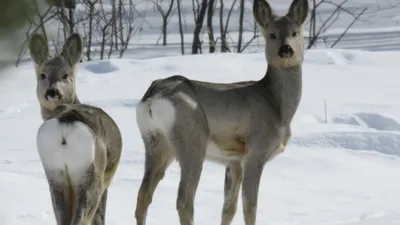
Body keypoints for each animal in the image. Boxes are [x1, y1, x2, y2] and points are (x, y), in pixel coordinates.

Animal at [29, 33, 122, 225]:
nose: (52, 91)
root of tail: (65, 126)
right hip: (92, 174)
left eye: (65, 75)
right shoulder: (107, 177)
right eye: (42, 75)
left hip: (55, 174)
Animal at [134, 0, 310, 224]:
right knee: (184, 200)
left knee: (143, 195)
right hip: (192, 141)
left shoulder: (234, 161)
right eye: (272, 34)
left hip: (155, 142)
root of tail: (152, 97)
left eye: (295, 33)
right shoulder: (255, 152)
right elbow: (249, 207)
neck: (276, 105)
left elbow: (228, 208)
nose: (286, 49)